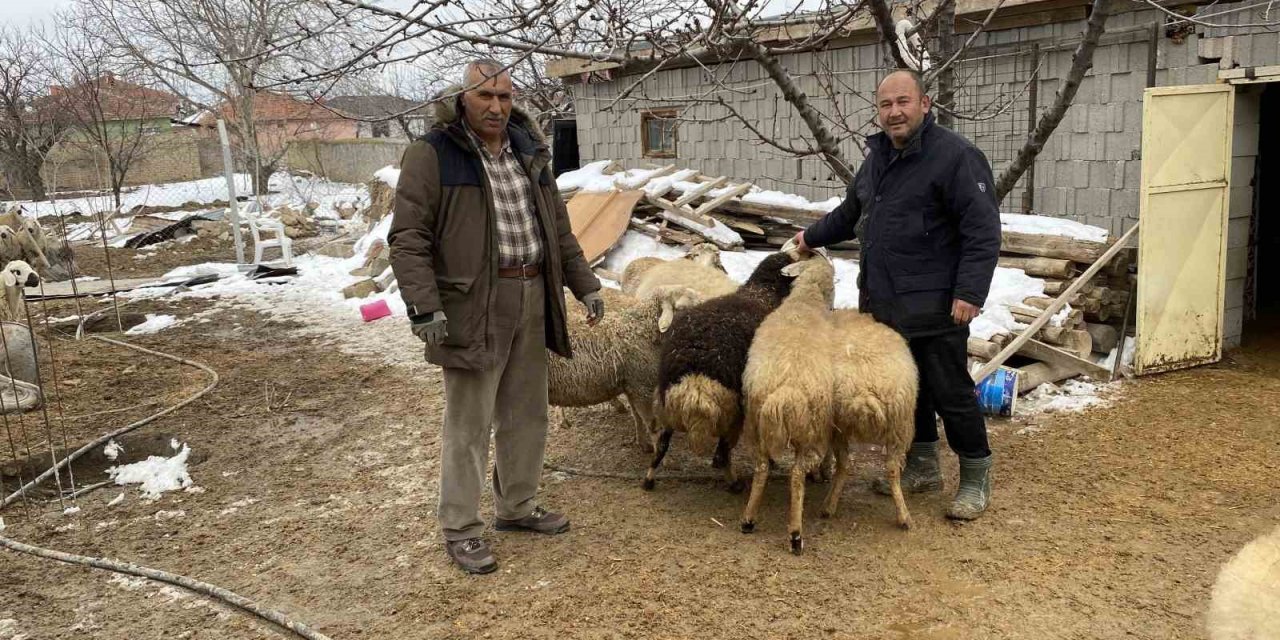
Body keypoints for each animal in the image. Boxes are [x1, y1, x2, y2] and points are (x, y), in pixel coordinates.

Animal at [547, 288, 706, 453]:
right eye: (681, 307)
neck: (642, 329)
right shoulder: (642, 386)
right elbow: (652, 424)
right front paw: (658, 453)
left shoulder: (632, 386)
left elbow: (638, 418)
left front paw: (643, 445)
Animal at [645, 249, 793, 488]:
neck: (760, 293)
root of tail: (695, 385)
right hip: (731, 415)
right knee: (722, 454)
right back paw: (734, 484)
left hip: (666, 409)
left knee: (661, 446)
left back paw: (648, 480)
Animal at [737, 254, 834, 555]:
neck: (805, 299)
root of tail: (785, 393)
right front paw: (824, 473)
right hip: (811, 431)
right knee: (797, 475)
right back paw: (796, 534)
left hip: (755, 423)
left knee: (761, 468)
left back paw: (748, 519)